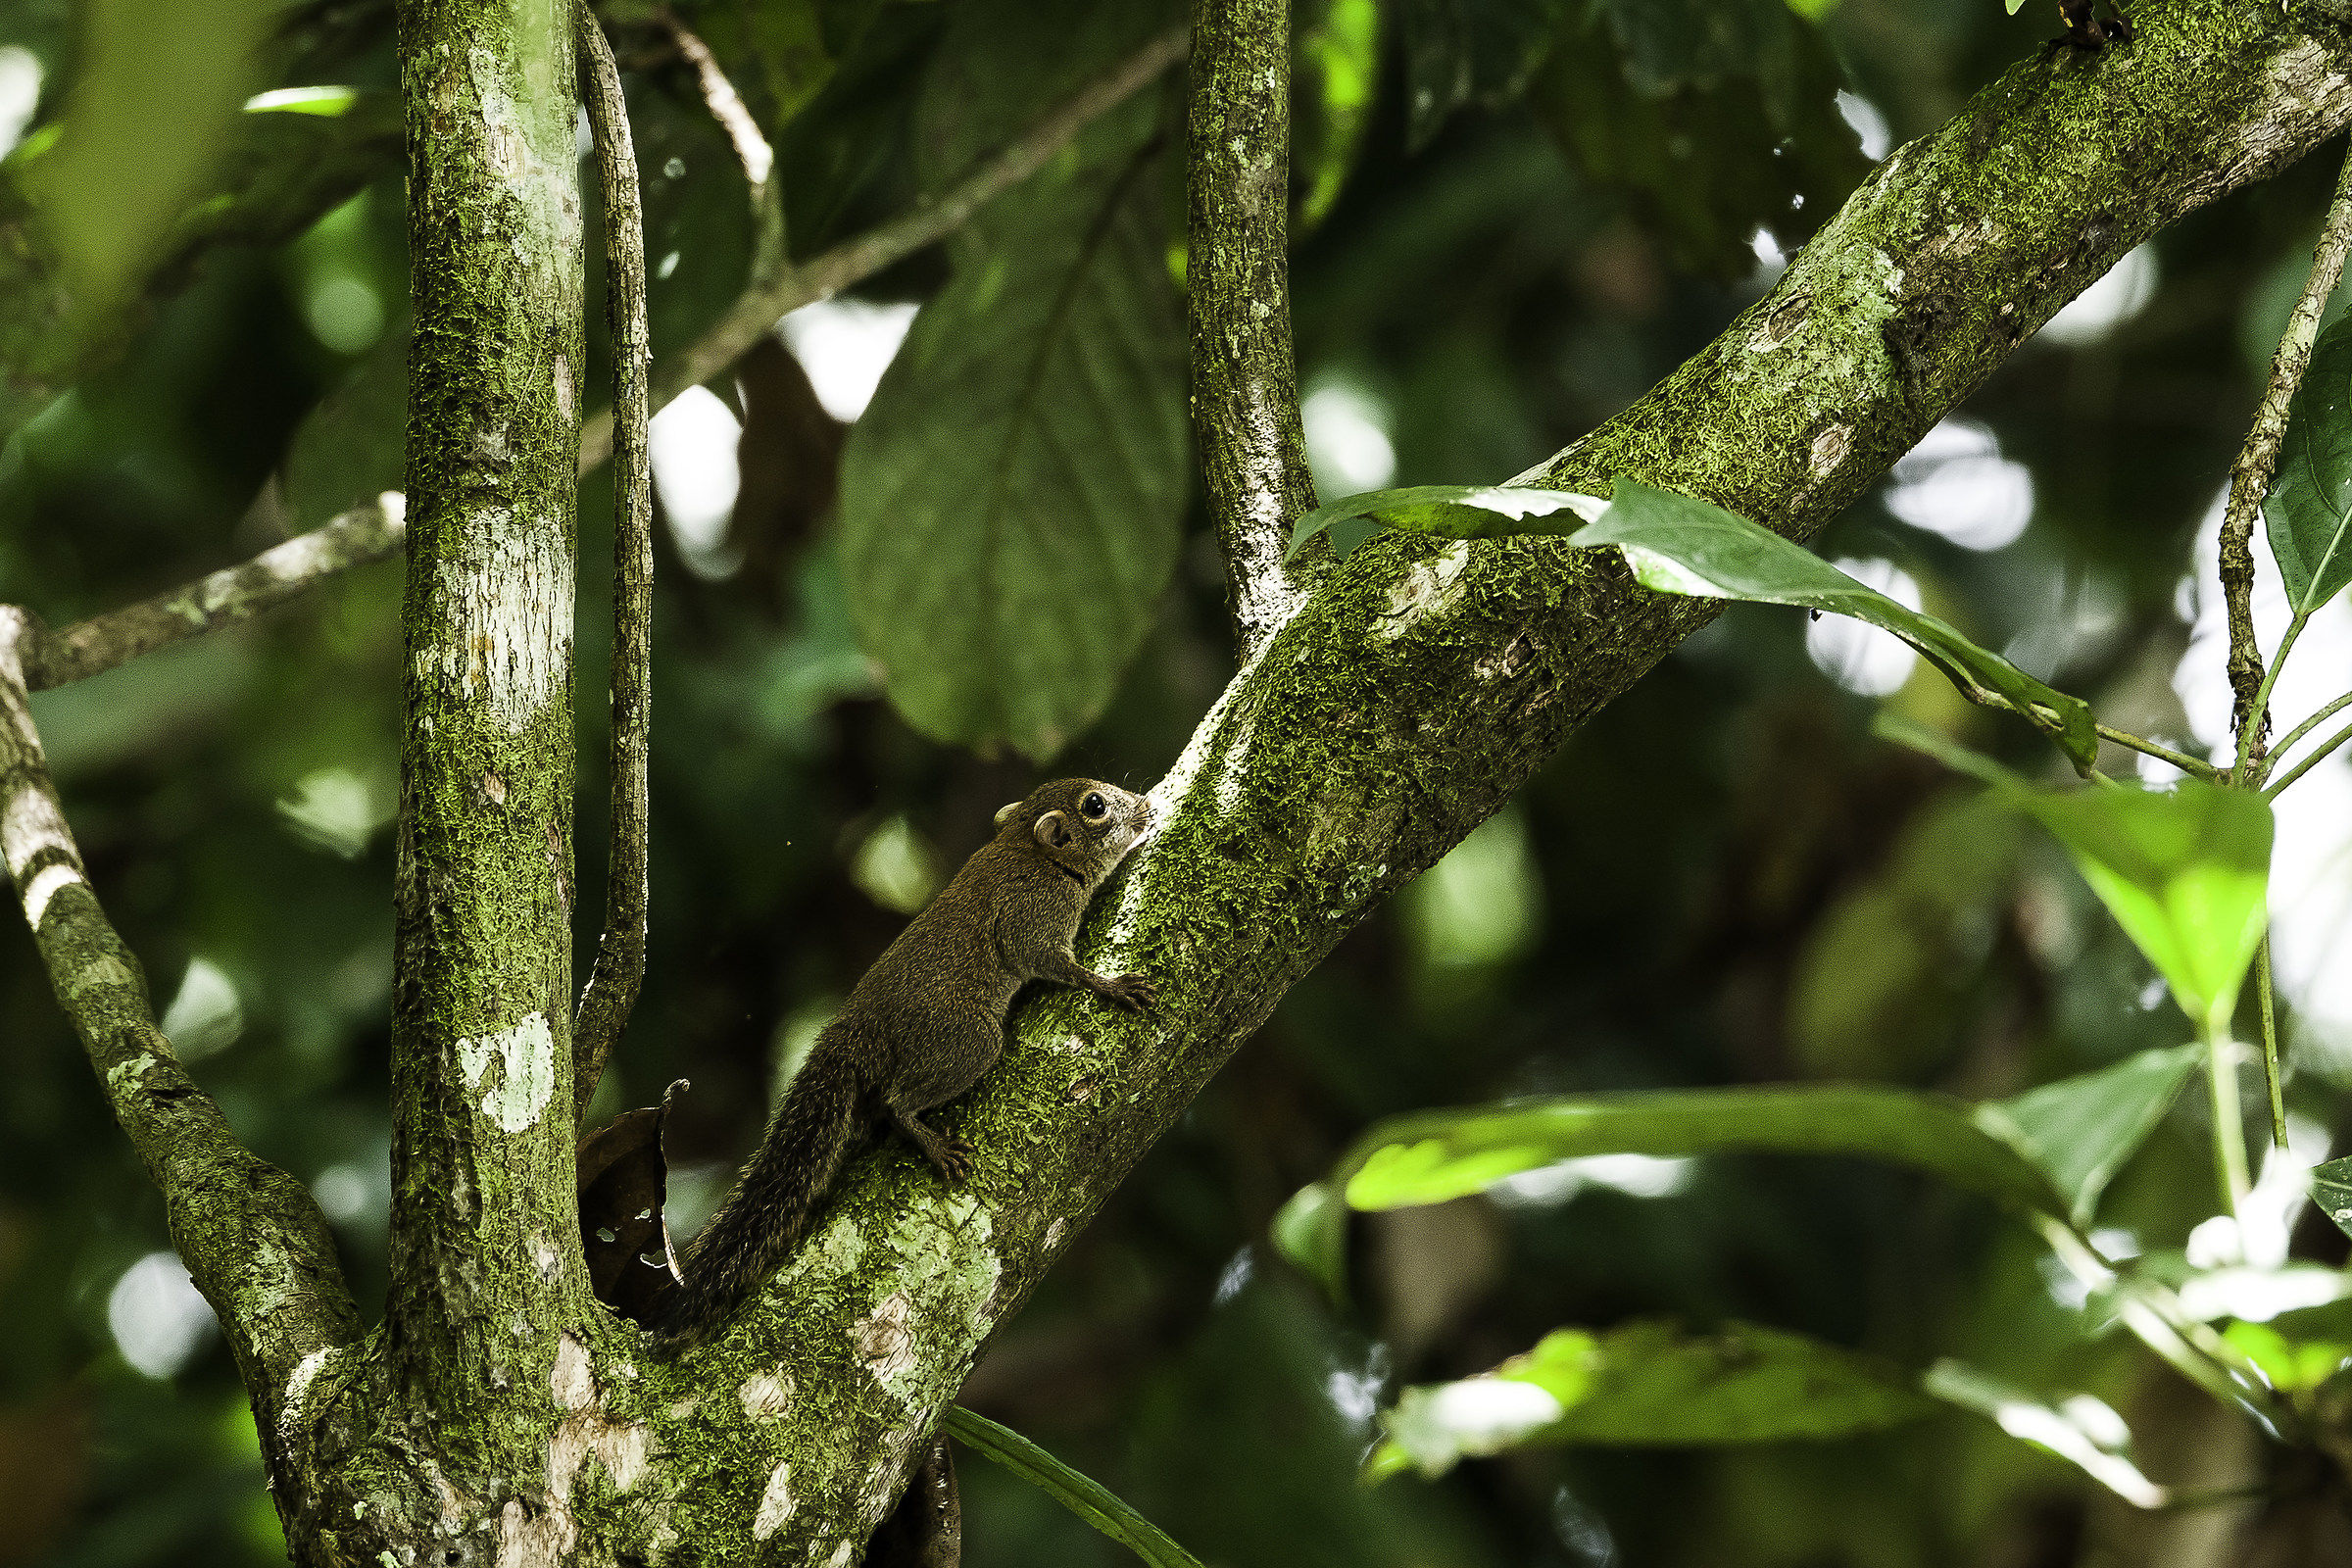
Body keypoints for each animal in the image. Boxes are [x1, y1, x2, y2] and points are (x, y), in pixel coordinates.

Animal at [650, 778, 1157, 1347]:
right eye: (1095, 806)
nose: (1145, 805)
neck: (1030, 853)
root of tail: (856, 1030)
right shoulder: (1032, 919)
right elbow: (1053, 963)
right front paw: (1112, 985)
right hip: (968, 1041)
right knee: (898, 1099)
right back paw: (932, 1144)